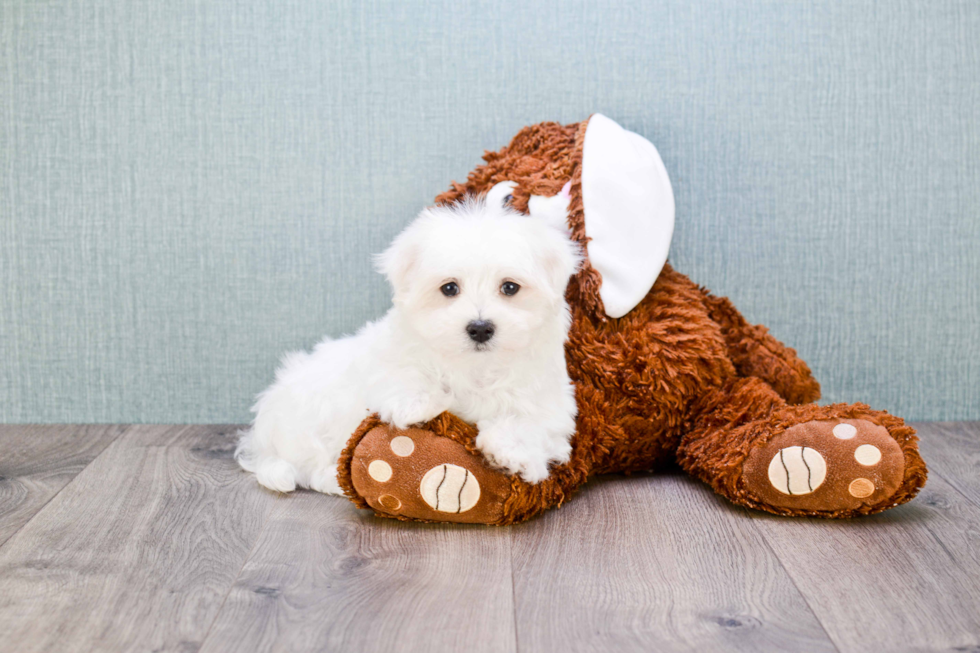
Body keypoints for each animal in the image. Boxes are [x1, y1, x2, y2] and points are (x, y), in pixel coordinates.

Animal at [236, 196, 580, 492]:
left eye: (510, 288)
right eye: (449, 288)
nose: (480, 328)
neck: (475, 366)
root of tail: (261, 439)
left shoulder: (550, 404)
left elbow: (532, 423)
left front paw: (512, 453)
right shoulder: (390, 359)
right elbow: (402, 373)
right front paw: (416, 404)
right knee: (312, 465)